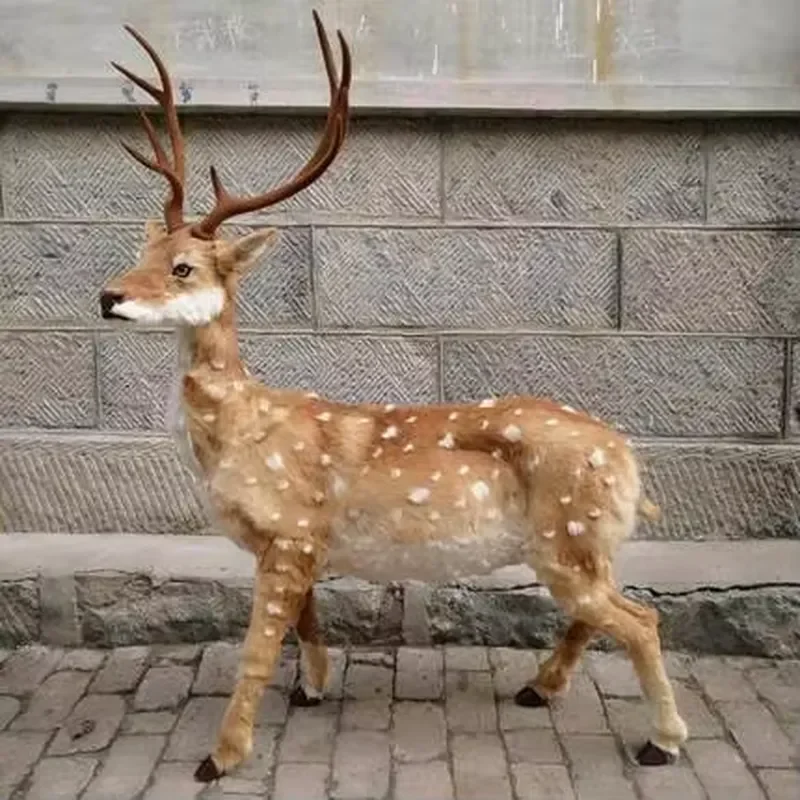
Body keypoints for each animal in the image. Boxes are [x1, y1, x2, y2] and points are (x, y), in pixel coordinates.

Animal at [98, 9, 688, 783]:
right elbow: (306, 621)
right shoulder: (297, 543)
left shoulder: (289, 531)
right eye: (140, 254)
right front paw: (313, 688)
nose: (107, 297)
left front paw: (220, 757)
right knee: (605, 611)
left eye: (184, 267)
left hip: (568, 532)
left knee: (642, 619)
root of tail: (627, 458)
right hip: (586, 542)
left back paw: (662, 740)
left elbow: (257, 650)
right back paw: (539, 687)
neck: (241, 436)